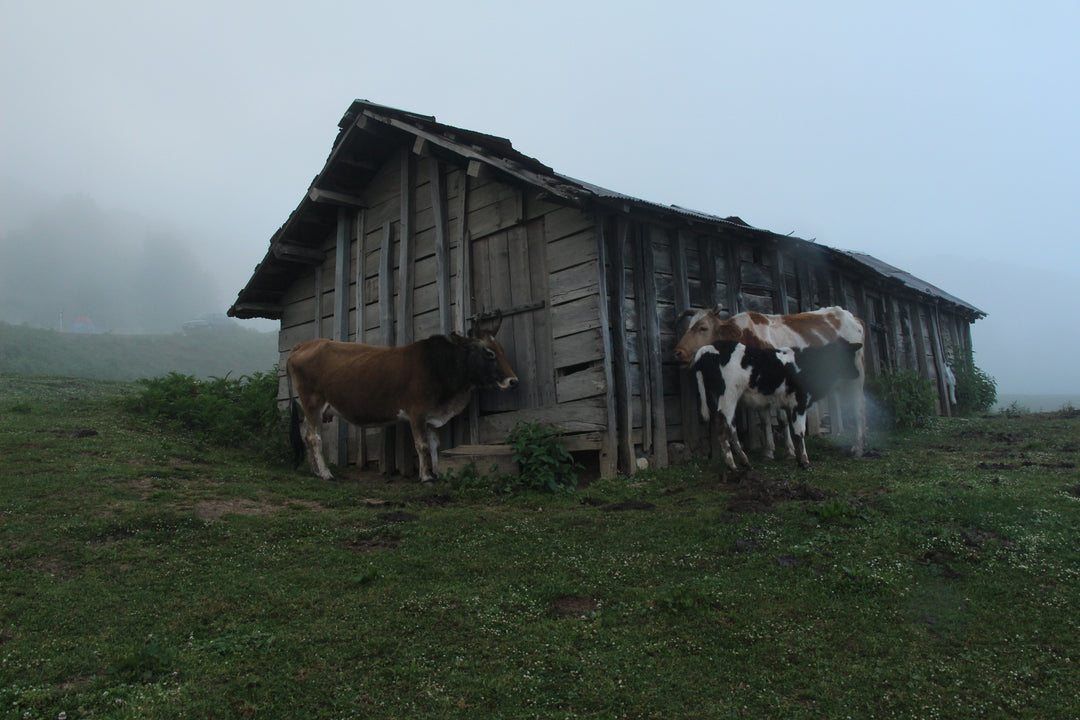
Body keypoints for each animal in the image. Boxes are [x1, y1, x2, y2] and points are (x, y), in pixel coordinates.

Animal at [287, 317, 514, 481]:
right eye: (489, 352)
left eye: (502, 350)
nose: (513, 380)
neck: (439, 365)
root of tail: (303, 344)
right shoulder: (417, 412)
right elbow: (422, 445)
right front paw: (425, 476)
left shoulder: (431, 415)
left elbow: (434, 444)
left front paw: (438, 471)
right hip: (313, 402)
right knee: (313, 437)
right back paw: (326, 473)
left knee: (305, 433)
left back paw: (315, 470)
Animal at [695, 338, 864, 472]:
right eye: (844, 356)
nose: (856, 373)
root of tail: (708, 348)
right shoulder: (799, 403)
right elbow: (800, 432)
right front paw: (805, 462)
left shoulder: (789, 406)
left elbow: (792, 430)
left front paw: (798, 459)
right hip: (728, 395)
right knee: (725, 426)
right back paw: (734, 464)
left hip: (718, 397)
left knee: (727, 425)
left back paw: (742, 462)